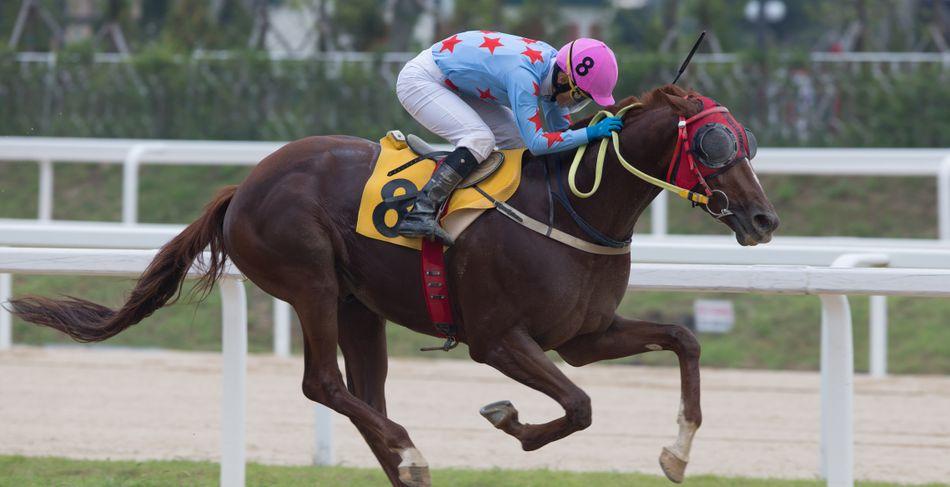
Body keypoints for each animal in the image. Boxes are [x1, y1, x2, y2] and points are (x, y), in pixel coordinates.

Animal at [7, 86, 780, 486]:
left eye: (748, 140)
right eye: (713, 144)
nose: (764, 217)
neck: (574, 205)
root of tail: (243, 184)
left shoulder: (583, 335)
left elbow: (681, 340)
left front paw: (678, 451)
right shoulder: (497, 338)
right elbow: (580, 405)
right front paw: (509, 419)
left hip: (360, 305)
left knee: (365, 396)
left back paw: (408, 462)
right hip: (311, 280)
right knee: (324, 383)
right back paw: (410, 451)